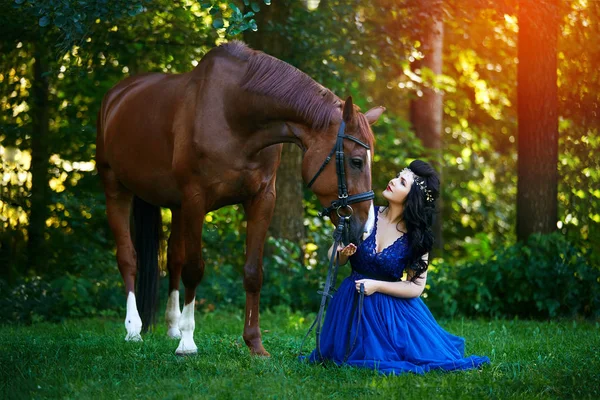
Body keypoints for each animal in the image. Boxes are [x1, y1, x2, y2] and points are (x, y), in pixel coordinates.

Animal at [94, 40, 384, 354]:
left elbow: (253, 272)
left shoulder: (262, 199)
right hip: (116, 189)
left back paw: (171, 326)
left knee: (173, 259)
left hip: (176, 206)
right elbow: (195, 269)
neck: (235, 116)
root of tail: (117, 94)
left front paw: (254, 344)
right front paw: (187, 341)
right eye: (356, 161)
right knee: (128, 258)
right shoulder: (196, 199)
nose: (365, 227)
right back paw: (134, 329)